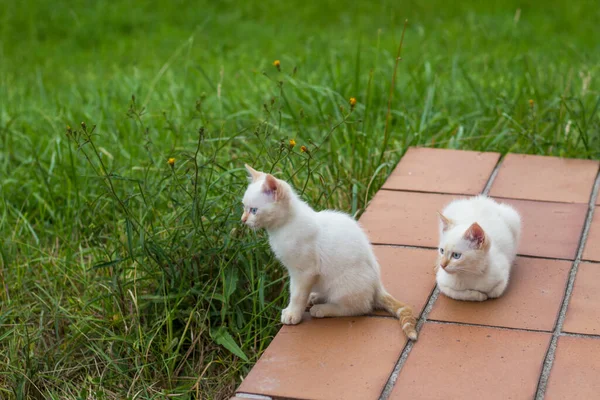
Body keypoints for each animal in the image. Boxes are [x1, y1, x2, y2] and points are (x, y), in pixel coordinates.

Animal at [240, 166, 418, 340]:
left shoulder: (304, 271)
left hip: (342, 286)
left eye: (254, 210)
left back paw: (322, 309)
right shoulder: (296, 271)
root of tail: (377, 285)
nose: (242, 220)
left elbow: (297, 294)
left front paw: (293, 314)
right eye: (244, 207)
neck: (283, 226)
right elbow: (295, 291)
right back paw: (316, 297)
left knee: (358, 308)